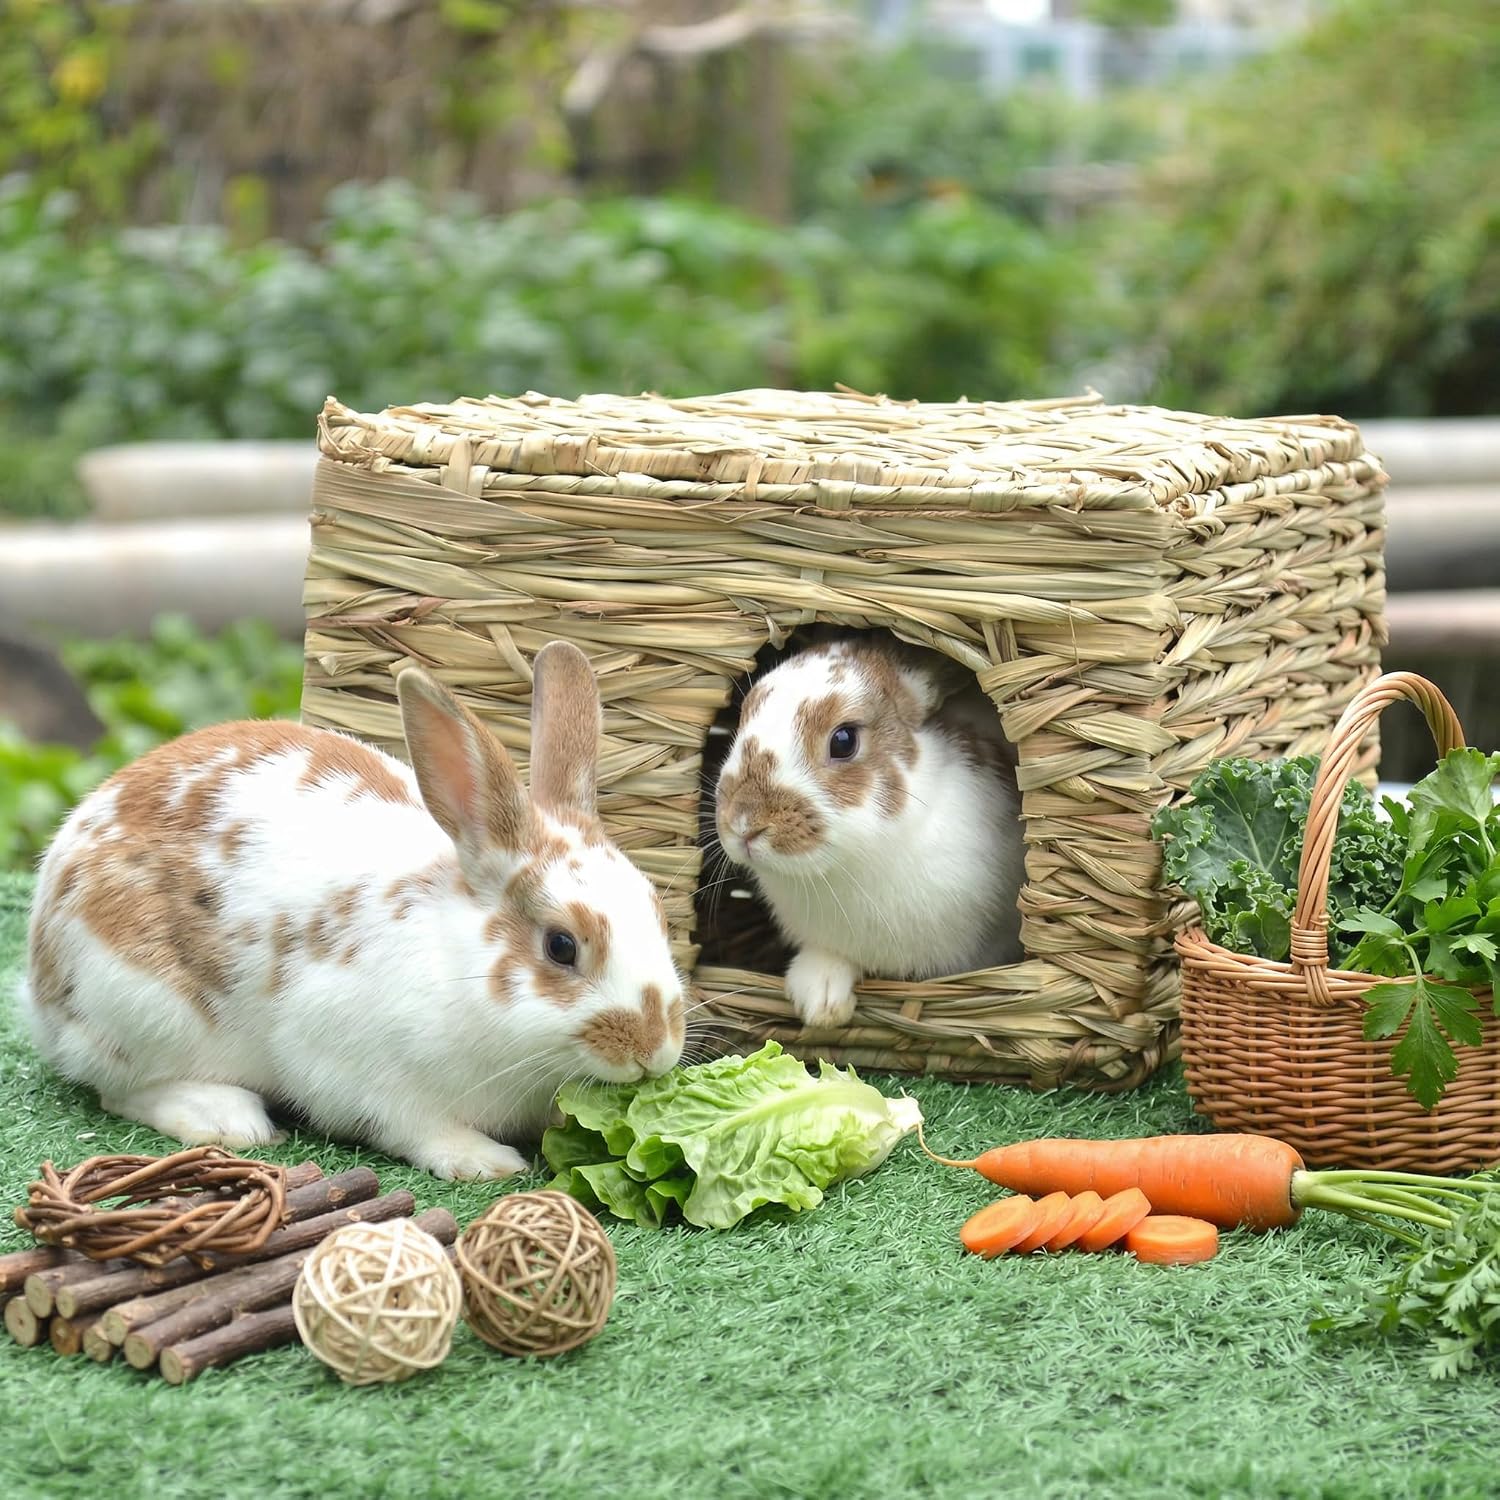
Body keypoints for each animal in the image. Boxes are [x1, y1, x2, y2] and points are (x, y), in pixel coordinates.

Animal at [19, 641, 686, 1181]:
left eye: (657, 911)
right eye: (561, 946)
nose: (655, 1049)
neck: (458, 963)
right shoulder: (357, 1070)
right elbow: (413, 1126)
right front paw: (483, 1161)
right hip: (141, 1007)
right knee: (119, 1087)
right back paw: (228, 1119)